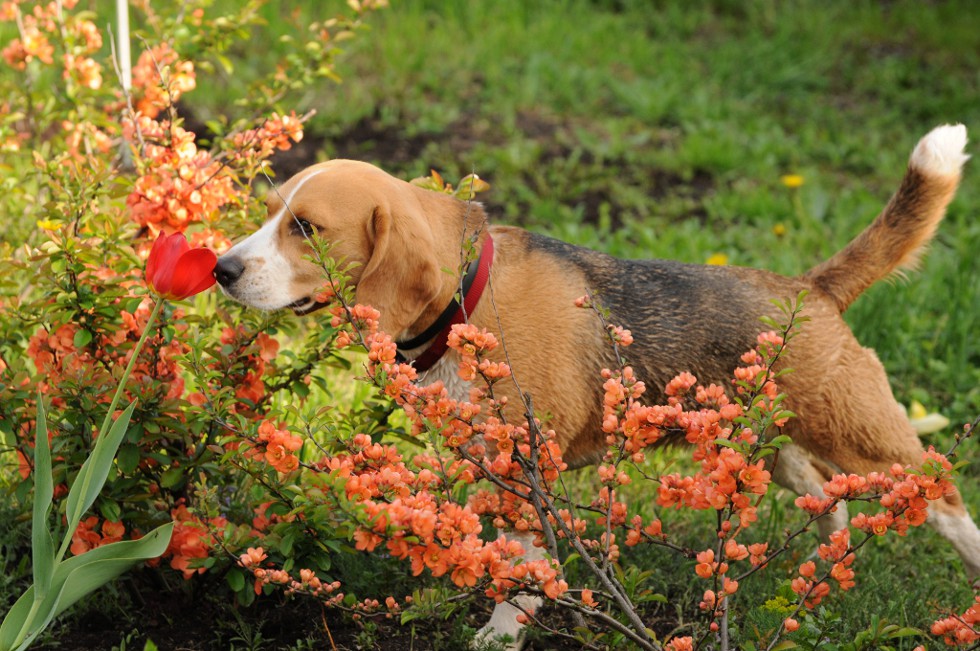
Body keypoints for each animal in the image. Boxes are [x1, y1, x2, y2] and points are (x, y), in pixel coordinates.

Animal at [218, 126, 980, 648]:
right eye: (269, 212)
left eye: (307, 228)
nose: (221, 269)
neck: (468, 294)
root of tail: (809, 288)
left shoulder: (526, 462)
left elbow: (524, 563)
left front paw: (504, 629)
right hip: (785, 448)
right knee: (832, 501)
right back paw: (819, 582)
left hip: (865, 437)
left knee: (943, 498)